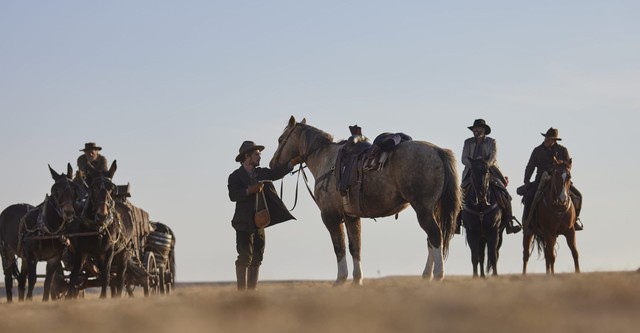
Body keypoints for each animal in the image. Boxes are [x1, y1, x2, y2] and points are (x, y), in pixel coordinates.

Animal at [0, 163, 80, 300]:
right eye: (55, 190)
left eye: (74, 189)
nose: (69, 212)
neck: (48, 229)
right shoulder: (32, 257)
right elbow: (32, 280)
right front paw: (30, 300)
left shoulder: (54, 258)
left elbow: (48, 282)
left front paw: (44, 301)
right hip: (6, 251)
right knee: (8, 279)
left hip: (24, 257)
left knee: (21, 280)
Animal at [67, 160, 134, 296]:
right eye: (94, 187)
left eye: (111, 189)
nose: (102, 215)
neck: (96, 229)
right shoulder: (81, 251)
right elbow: (74, 276)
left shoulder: (108, 252)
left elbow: (106, 277)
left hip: (124, 253)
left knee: (120, 279)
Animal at [268, 116, 460, 282]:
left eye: (280, 139)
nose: (271, 164)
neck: (326, 159)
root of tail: (437, 150)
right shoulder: (351, 217)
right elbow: (355, 247)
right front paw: (356, 280)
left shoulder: (330, 216)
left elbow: (339, 247)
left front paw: (341, 279)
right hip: (430, 209)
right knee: (431, 239)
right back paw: (427, 276)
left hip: (422, 208)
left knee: (434, 235)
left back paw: (437, 276)